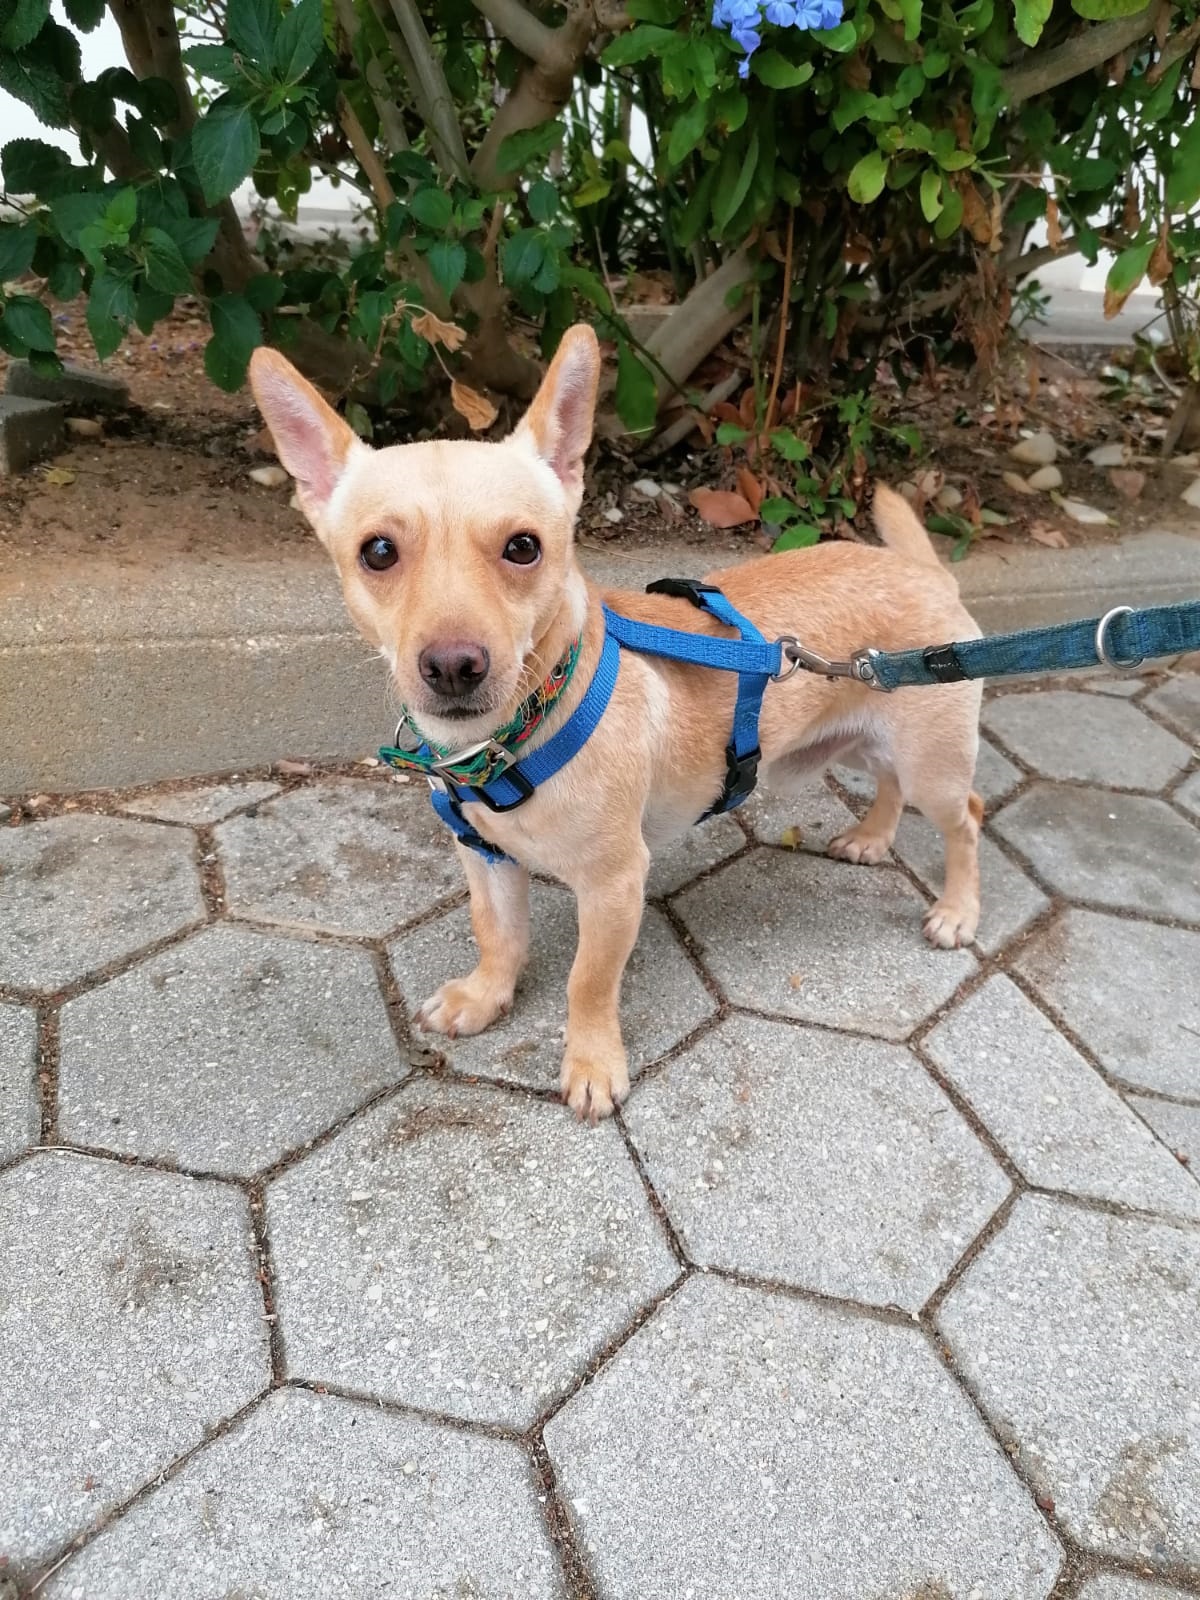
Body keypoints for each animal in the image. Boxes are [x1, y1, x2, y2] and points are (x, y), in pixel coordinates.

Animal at [250, 324, 983, 1120]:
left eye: (524, 547)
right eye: (378, 552)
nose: (453, 666)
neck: (514, 738)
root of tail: (928, 573)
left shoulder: (613, 886)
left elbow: (587, 981)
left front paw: (593, 1063)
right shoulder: (487, 861)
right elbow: (496, 937)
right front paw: (485, 998)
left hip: (932, 761)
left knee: (966, 816)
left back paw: (958, 911)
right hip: (858, 739)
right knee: (889, 783)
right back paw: (873, 837)